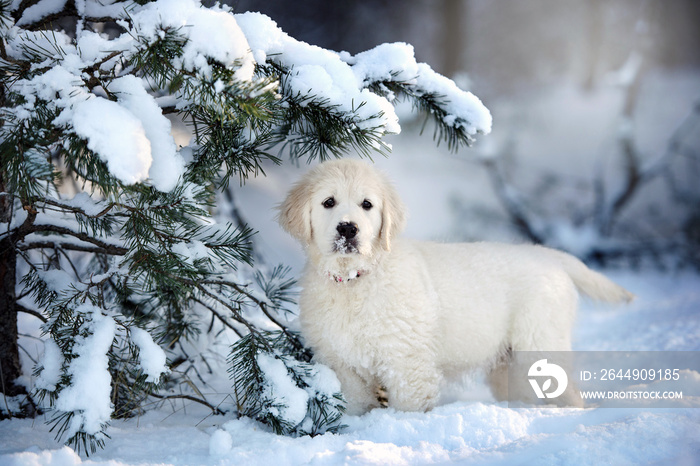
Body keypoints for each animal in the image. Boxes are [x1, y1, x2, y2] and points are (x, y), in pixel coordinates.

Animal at [278, 158, 636, 414]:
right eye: (328, 202)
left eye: (367, 204)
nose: (348, 229)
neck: (354, 280)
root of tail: (550, 256)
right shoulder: (342, 364)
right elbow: (355, 404)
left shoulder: (407, 362)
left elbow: (409, 407)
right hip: (510, 363)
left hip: (540, 340)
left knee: (568, 391)